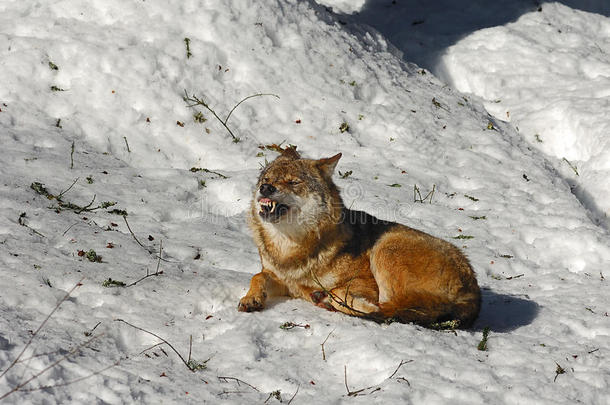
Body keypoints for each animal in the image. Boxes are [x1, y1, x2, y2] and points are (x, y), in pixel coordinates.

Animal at [238, 147, 480, 326]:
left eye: (293, 182)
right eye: (267, 178)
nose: (265, 187)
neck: (293, 248)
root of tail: (473, 289)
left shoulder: (366, 282)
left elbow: (339, 289)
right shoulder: (283, 280)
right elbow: (258, 276)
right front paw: (251, 299)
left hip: (386, 248)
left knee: (390, 309)